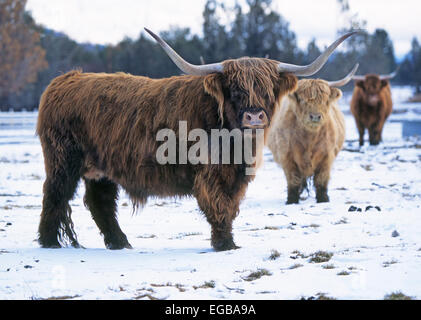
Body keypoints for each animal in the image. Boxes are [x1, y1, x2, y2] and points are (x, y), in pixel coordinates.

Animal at [268, 64, 356, 204]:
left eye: (325, 101)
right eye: (302, 100)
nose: (315, 116)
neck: (309, 138)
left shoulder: (327, 157)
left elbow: (321, 179)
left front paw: (323, 199)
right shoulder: (287, 156)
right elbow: (293, 179)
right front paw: (292, 200)